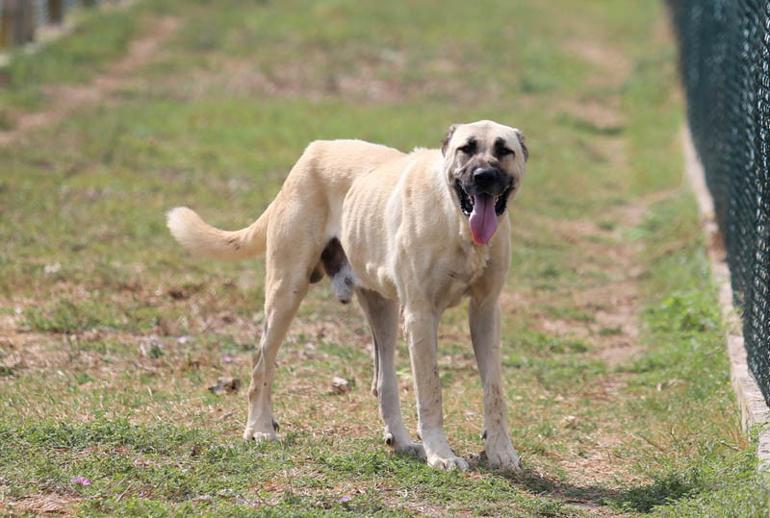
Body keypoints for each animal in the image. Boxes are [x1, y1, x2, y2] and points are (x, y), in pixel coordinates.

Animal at [166, 120, 528, 474]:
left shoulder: (485, 311)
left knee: (384, 381)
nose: (483, 177)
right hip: (287, 291)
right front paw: (440, 454)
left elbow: (494, 389)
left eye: (504, 150)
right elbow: (431, 390)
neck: (457, 222)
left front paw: (500, 451)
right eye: (466, 148)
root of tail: (313, 150)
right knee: (261, 364)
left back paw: (401, 440)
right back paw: (259, 429)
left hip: (383, 307)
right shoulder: (421, 315)